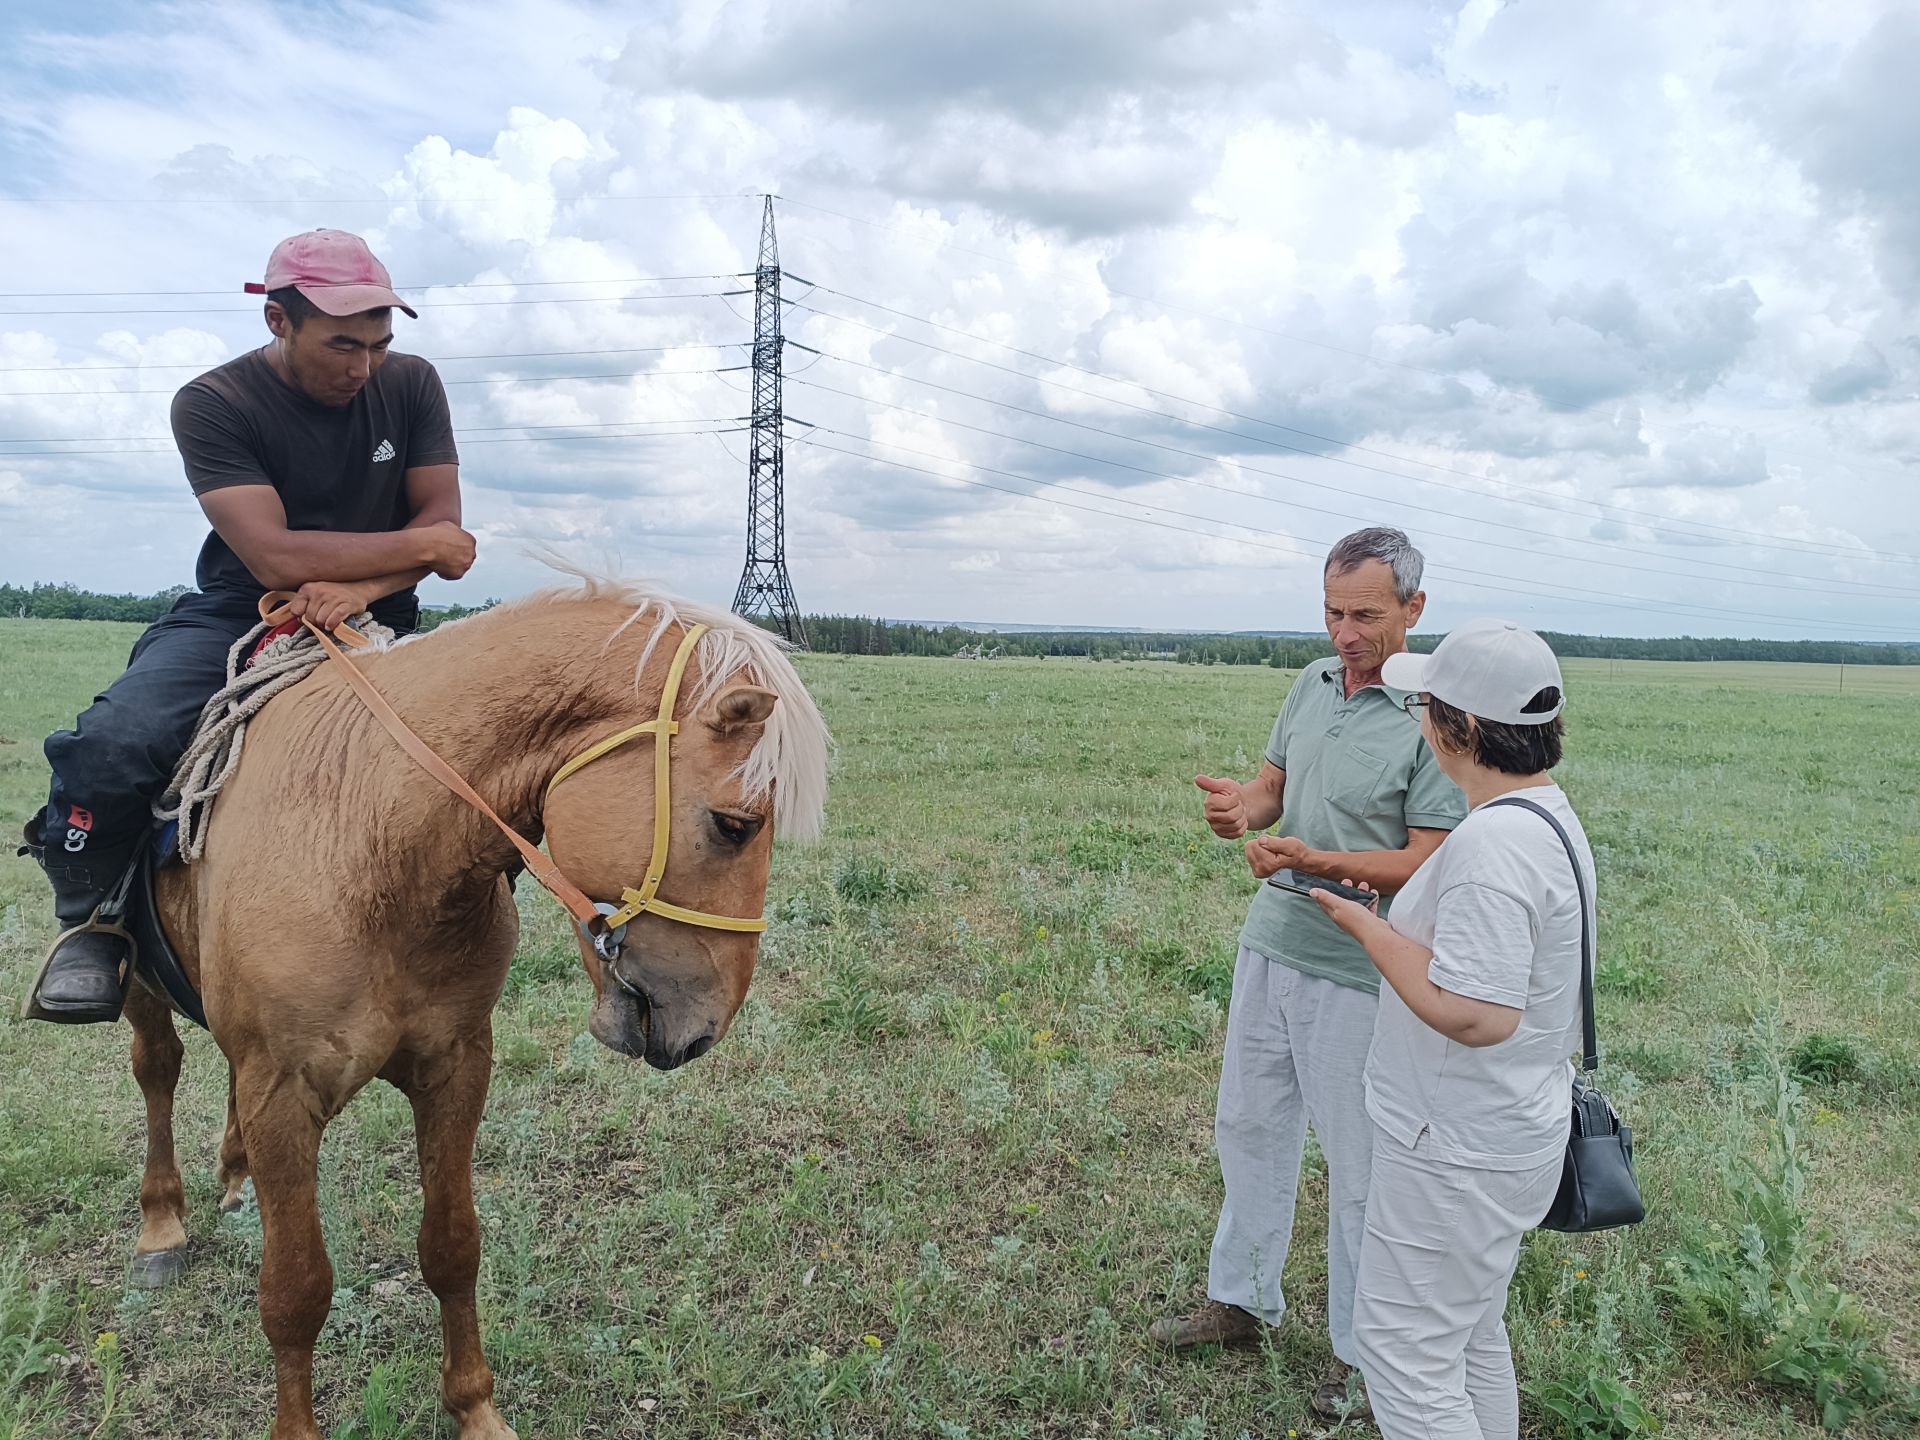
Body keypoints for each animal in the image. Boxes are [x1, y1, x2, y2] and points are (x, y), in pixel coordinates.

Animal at [120, 579, 825, 1440]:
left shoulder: (454, 1067)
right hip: (139, 984)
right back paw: (162, 1224)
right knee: (158, 1070)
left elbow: (453, 1246)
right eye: (735, 825)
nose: (705, 1029)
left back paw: (232, 1174)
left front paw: (476, 1410)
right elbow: (294, 1290)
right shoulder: (283, 1094)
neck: (373, 841)